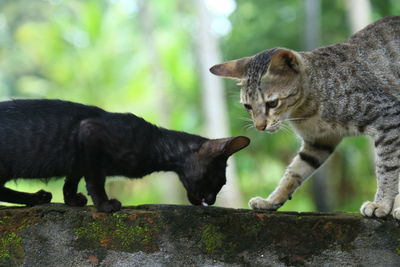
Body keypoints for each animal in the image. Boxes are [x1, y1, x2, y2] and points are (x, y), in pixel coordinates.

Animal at [0, 99, 250, 213]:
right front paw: (104, 205)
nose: (212, 201)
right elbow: (95, 180)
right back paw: (35, 198)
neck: (157, 144)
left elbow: (72, 179)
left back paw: (37, 198)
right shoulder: (90, 131)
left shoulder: (81, 156)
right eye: (218, 180)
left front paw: (71, 199)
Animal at [211, 16, 400, 220]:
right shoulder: (319, 141)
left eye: (272, 103)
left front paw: (381, 204)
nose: (260, 126)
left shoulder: (388, 117)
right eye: (248, 106)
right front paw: (271, 200)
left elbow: (387, 167)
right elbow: (294, 172)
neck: (306, 109)